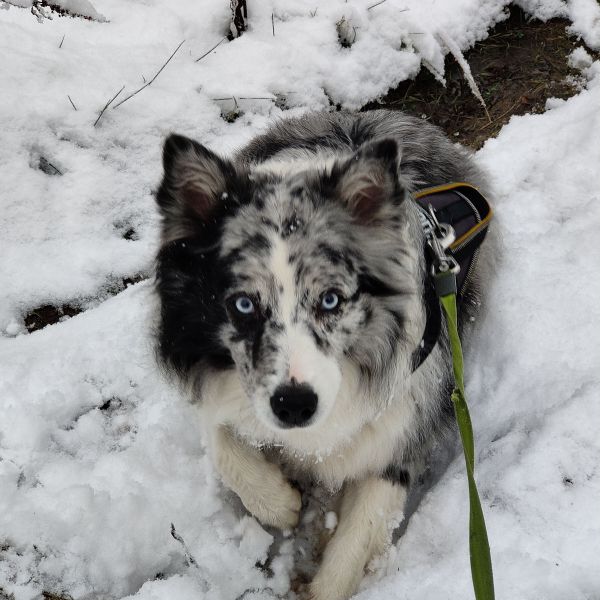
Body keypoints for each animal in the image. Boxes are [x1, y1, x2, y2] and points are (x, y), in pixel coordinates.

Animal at [152, 110, 494, 596]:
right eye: (243, 304)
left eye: (331, 299)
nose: (294, 405)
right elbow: (222, 442)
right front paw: (280, 503)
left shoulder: (402, 428)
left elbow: (357, 536)